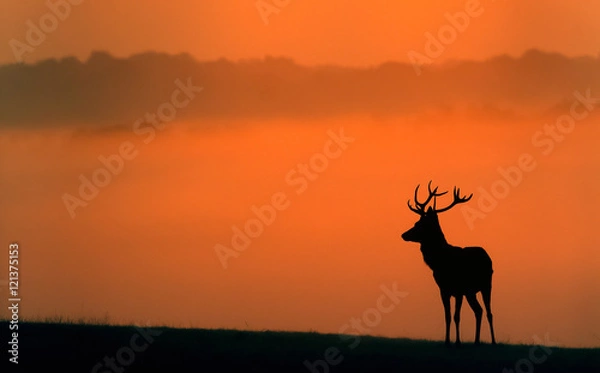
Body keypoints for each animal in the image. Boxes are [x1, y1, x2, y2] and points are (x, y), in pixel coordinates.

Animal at [400, 182, 494, 344]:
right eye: (416, 222)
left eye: (420, 224)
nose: (403, 234)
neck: (440, 261)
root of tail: (488, 257)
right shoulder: (443, 289)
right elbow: (448, 316)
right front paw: (447, 341)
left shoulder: (459, 289)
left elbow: (457, 316)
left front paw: (457, 342)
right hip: (471, 292)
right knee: (479, 310)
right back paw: (476, 341)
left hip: (486, 284)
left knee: (489, 312)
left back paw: (493, 341)